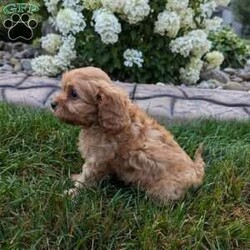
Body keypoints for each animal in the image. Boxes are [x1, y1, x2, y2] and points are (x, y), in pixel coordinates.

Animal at [51, 67, 205, 203]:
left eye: (73, 94)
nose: (52, 104)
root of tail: (196, 174)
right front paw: (75, 178)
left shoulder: (98, 159)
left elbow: (86, 177)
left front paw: (70, 194)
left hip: (163, 188)